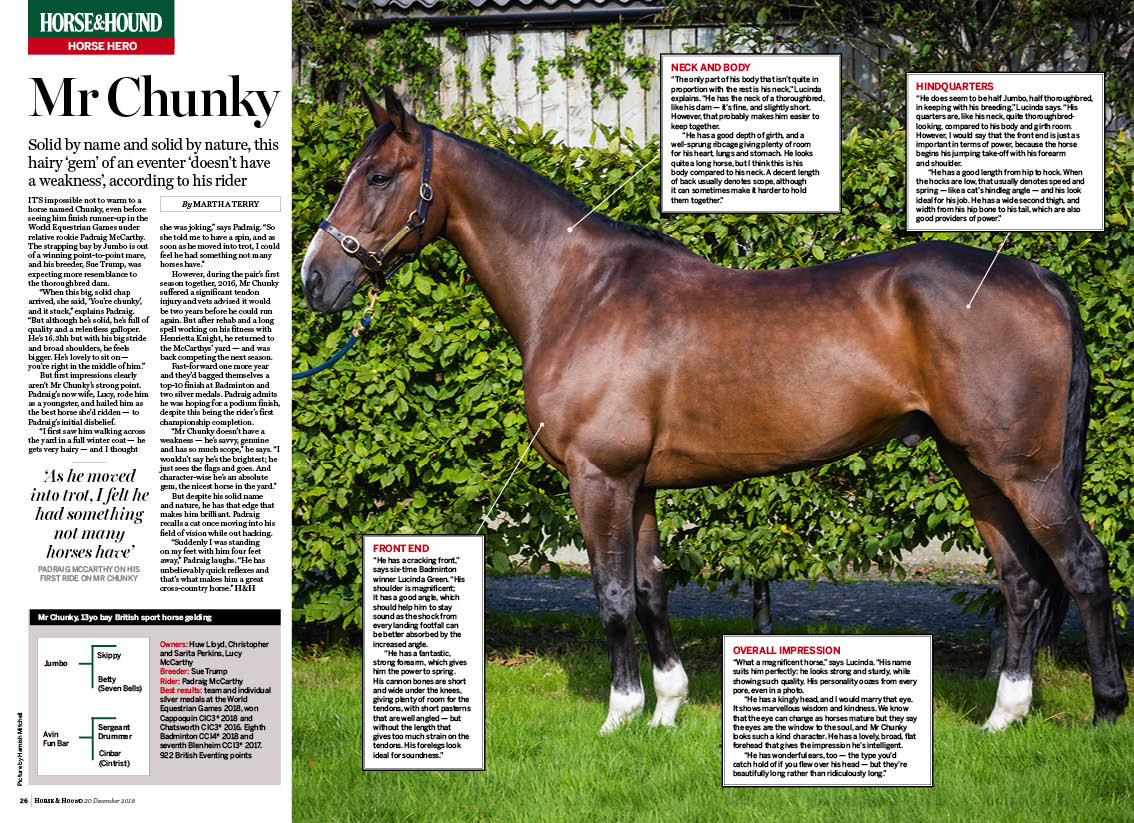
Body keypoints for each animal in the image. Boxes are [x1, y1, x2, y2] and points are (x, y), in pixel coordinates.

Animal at [300, 87, 1127, 733]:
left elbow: (611, 596)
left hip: (1025, 471)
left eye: (379, 176)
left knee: (1083, 565)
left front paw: (618, 715)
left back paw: (1105, 709)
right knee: (1021, 580)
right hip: (977, 463)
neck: (579, 291)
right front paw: (665, 708)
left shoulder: (598, 477)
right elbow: (650, 588)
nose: (316, 279)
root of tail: (1041, 278)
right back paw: (1003, 716)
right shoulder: (637, 483)